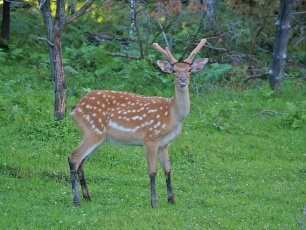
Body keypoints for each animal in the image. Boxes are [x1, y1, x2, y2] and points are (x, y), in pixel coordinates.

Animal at [68, 38, 209, 208]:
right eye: (173, 70)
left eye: (189, 70)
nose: (183, 81)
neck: (172, 115)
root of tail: (75, 109)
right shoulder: (150, 138)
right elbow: (153, 171)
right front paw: (154, 203)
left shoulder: (164, 144)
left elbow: (168, 169)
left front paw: (171, 200)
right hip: (93, 131)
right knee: (74, 158)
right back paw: (76, 201)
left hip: (98, 137)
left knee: (81, 162)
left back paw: (88, 197)